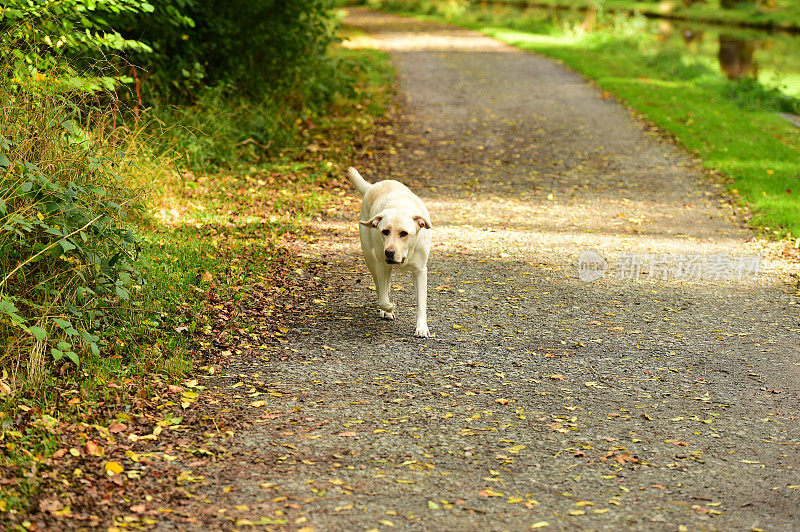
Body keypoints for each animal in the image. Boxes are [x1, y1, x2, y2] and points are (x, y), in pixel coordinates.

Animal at [346, 166, 428, 336]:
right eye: (385, 231)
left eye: (404, 233)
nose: (389, 252)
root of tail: (372, 186)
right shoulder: (383, 266)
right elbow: (383, 299)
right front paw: (389, 307)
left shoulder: (420, 271)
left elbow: (421, 302)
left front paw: (422, 328)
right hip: (370, 257)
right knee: (379, 287)